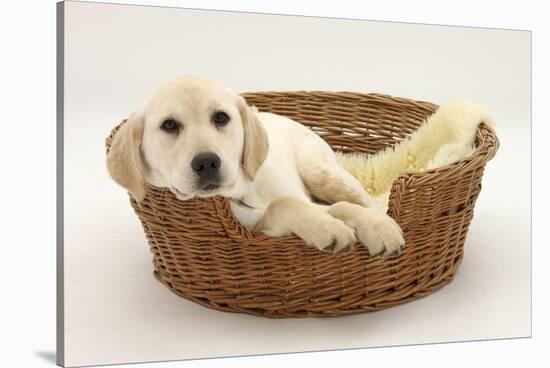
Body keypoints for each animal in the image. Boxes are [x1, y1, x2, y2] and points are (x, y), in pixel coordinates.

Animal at [109, 76, 406, 256]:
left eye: (221, 118)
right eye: (169, 125)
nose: (207, 162)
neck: (241, 193)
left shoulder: (308, 199)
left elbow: (342, 207)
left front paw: (379, 227)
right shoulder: (257, 226)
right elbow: (284, 205)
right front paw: (327, 227)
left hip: (322, 174)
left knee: (366, 201)